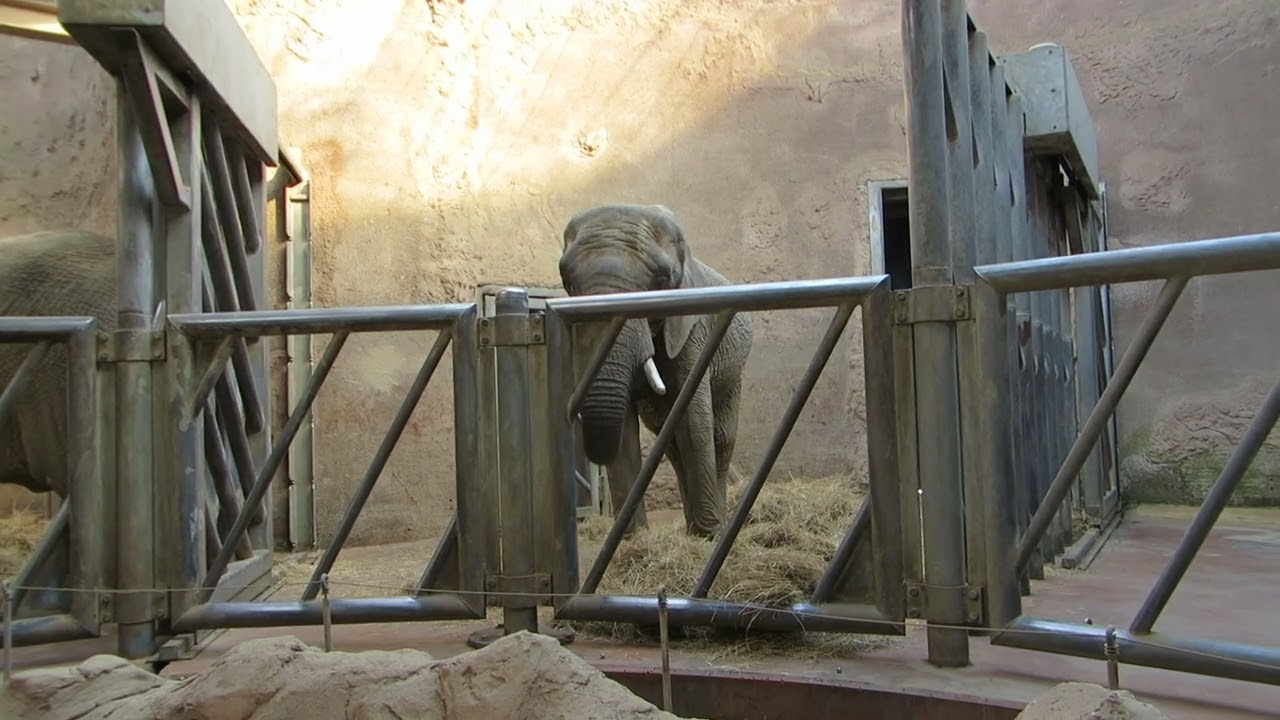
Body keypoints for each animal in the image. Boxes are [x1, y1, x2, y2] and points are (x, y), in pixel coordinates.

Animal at [559, 204, 753, 539]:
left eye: (662, 280)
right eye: (567, 283)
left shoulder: (693, 331)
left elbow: (694, 420)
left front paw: (708, 535)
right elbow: (625, 428)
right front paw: (632, 538)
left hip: (734, 373)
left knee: (720, 438)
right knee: (672, 443)